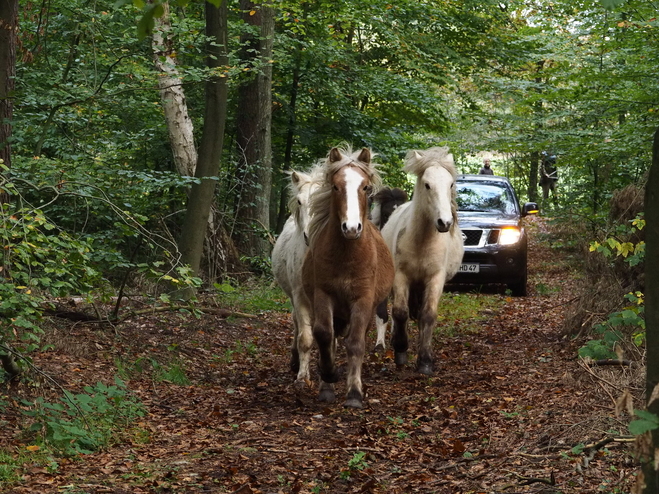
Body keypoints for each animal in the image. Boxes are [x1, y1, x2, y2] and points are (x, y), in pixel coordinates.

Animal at [302, 146, 394, 410]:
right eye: (335, 186)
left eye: (365, 187)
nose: (351, 228)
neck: (347, 255)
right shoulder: (324, 295)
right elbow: (324, 335)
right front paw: (328, 377)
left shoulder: (362, 300)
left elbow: (355, 343)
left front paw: (354, 393)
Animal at [378, 147, 466, 374]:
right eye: (427, 185)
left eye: (450, 184)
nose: (445, 222)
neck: (422, 242)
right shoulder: (401, 276)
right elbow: (400, 312)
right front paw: (401, 351)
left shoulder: (435, 278)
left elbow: (428, 315)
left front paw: (425, 361)